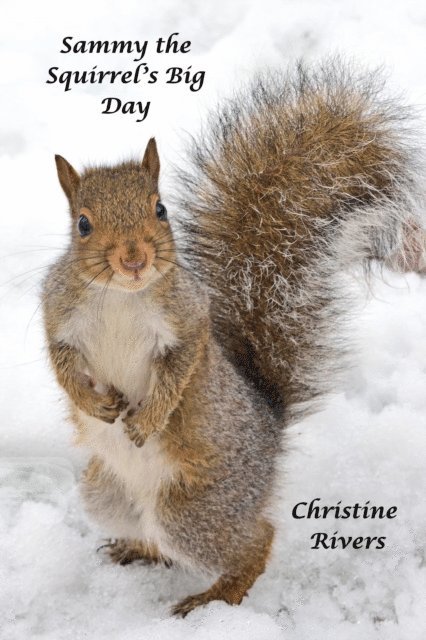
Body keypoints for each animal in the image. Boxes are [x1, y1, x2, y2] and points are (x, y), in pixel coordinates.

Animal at [42, 60, 425, 616]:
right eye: (83, 224)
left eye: (160, 210)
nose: (134, 259)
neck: (121, 297)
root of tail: (269, 427)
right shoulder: (58, 319)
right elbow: (63, 366)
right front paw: (92, 404)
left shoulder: (187, 321)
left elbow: (181, 369)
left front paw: (149, 418)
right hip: (105, 495)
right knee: (156, 536)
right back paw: (138, 547)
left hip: (196, 507)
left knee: (255, 540)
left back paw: (214, 597)